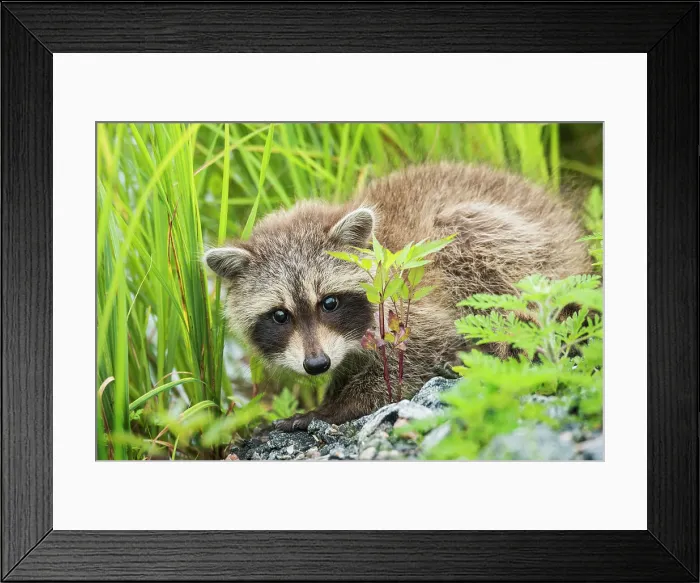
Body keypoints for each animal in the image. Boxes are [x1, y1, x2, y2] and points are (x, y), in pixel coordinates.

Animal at [205, 163, 591, 431]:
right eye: (280, 315)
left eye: (329, 302)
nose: (316, 365)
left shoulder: (409, 300)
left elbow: (421, 353)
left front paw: (333, 409)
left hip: (511, 243)